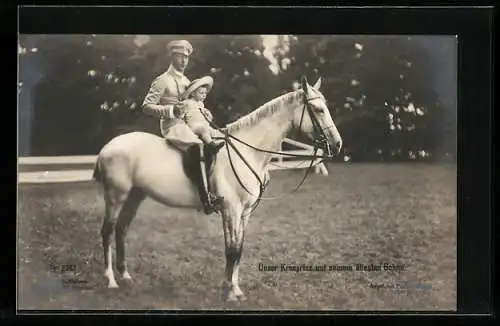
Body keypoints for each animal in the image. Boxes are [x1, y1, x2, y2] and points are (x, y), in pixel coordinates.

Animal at [92, 76, 342, 300]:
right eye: (318, 109)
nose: (337, 144)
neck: (247, 152)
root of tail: (107, 147)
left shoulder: (244, 213)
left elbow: (238, 248)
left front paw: (234, 288)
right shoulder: (231, 209)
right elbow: (231, 249)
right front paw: (229, 291)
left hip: (136, 195)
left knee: (122, 229)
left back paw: (125, 276)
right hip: (116, 195)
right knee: (107, 231)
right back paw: (110, 280)